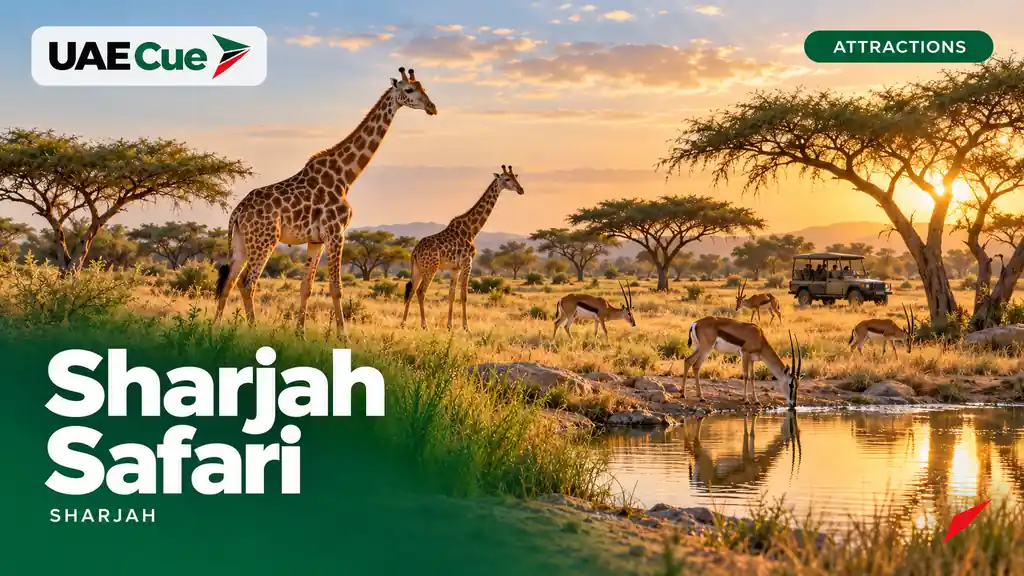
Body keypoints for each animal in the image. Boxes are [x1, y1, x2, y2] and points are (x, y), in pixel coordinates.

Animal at [213, 67, 437, 337]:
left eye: (424, 88)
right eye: (409, 90)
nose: (432, 107)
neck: (345, 176)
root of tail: (236, 213)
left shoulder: (315, 240)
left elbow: (306, 287)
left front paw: (300, 333)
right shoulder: (336, 232)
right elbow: (336, 287)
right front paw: (344, 335)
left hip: (240, 242)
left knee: (229, 281)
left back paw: (213, 329)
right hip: (264, 240)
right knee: (248, 282)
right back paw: (253, 330)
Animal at [400, 165, 525, 330]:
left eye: (516, 177)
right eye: (507, 179)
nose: (521, 189)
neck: (472, 230)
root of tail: (415, 251)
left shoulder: (455, 268)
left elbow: (452, 295)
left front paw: (449, 325)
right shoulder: (467, 263)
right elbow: (464, 296)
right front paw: (466, 327)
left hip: (417, 269)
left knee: (412, 291)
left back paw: (403, 323)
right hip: (431, 268)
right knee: (421, 291)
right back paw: (424, 325)